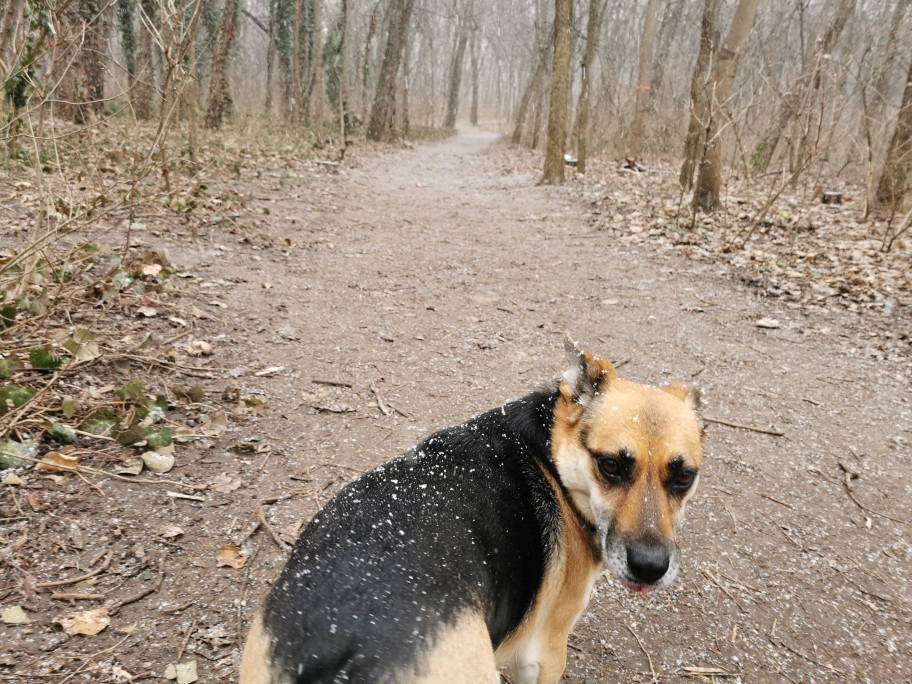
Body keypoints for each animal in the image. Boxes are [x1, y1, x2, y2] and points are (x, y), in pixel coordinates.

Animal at [240, 342, 704, 684]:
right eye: (610, 465)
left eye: (684, 476)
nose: (650, 567)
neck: (551, 454)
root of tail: (332, 654)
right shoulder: (544, 655)